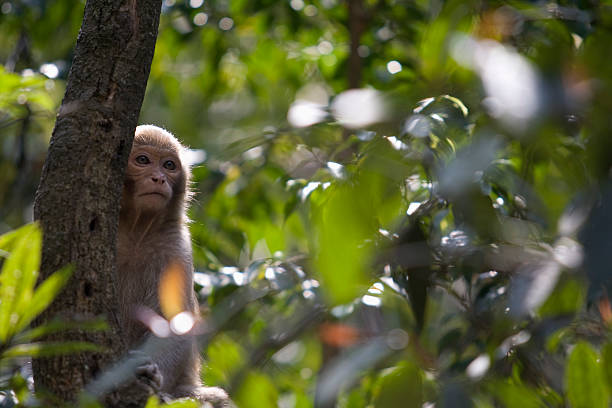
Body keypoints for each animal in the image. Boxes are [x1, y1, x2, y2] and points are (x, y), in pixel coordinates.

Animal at [116, 125, 230, 408]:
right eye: (143, 160)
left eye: (169, 165)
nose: (158, 178)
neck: (136, 231)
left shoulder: (176, 248)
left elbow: (175, 325)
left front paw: (150, 375)